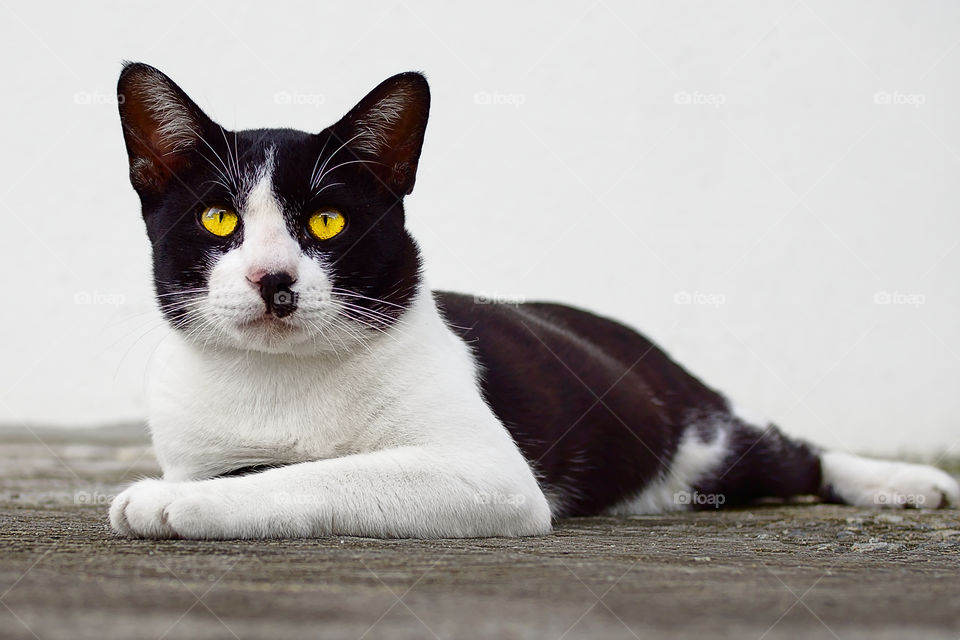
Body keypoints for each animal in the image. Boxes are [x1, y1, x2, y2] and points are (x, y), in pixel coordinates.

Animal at [110, 62, 952, 536]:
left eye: (325, 221)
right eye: (219, 218)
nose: (273, 279)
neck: (279, 380)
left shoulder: (487, 475)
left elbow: (311, 474)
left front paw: (167, 502)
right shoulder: (192, 438)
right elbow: (239, 466)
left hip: (703, 446)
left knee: (791, 454)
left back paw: (909, 482)